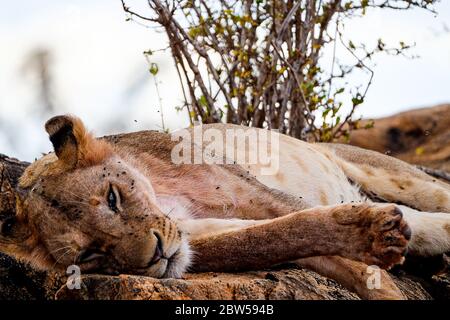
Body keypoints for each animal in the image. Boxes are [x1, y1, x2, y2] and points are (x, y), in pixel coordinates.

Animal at [0, 115, 448, 300]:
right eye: (90, 255)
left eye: (112, 198)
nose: (155, 257)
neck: (167, 199)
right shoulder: (199, 238)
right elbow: (267, 240)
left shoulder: (261, 196)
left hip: (385, 172)